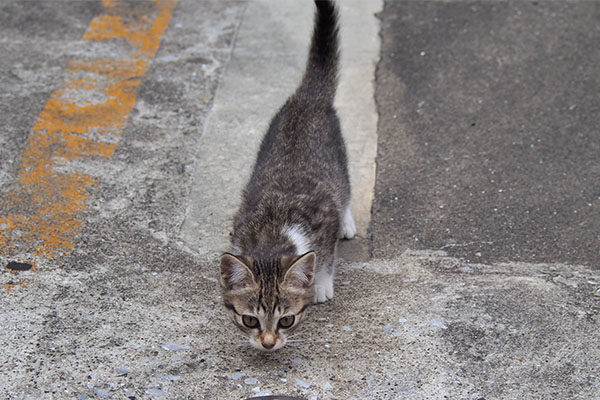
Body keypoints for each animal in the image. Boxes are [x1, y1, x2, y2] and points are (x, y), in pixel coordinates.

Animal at [220, 0, 354, 350]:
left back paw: (349, 222)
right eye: (249, 320)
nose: (268, 343)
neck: (273, 227)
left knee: (347, 190)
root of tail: (307, 98)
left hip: (339, 158)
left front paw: (321, 282)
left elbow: (326, 255)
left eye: (286, 320)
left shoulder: (326, 214)